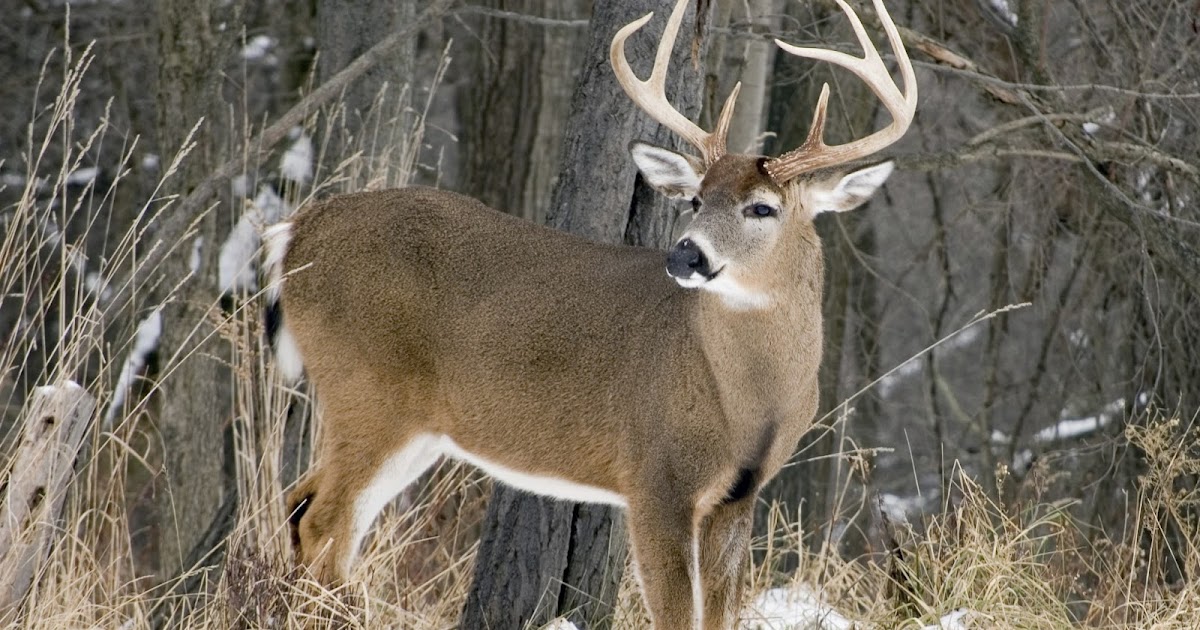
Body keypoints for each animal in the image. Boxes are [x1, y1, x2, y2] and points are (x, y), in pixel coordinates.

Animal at [261, 0, 915, 627]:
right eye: (695, 200)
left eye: (761, 208)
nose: (686, 253)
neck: (749, 401)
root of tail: (296, 231)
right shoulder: (655, 475)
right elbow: (676, 615)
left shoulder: (739, 496)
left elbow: (720, 613)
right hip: (366, 392)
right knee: (322, 522)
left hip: (417, 426)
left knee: (303, 507)